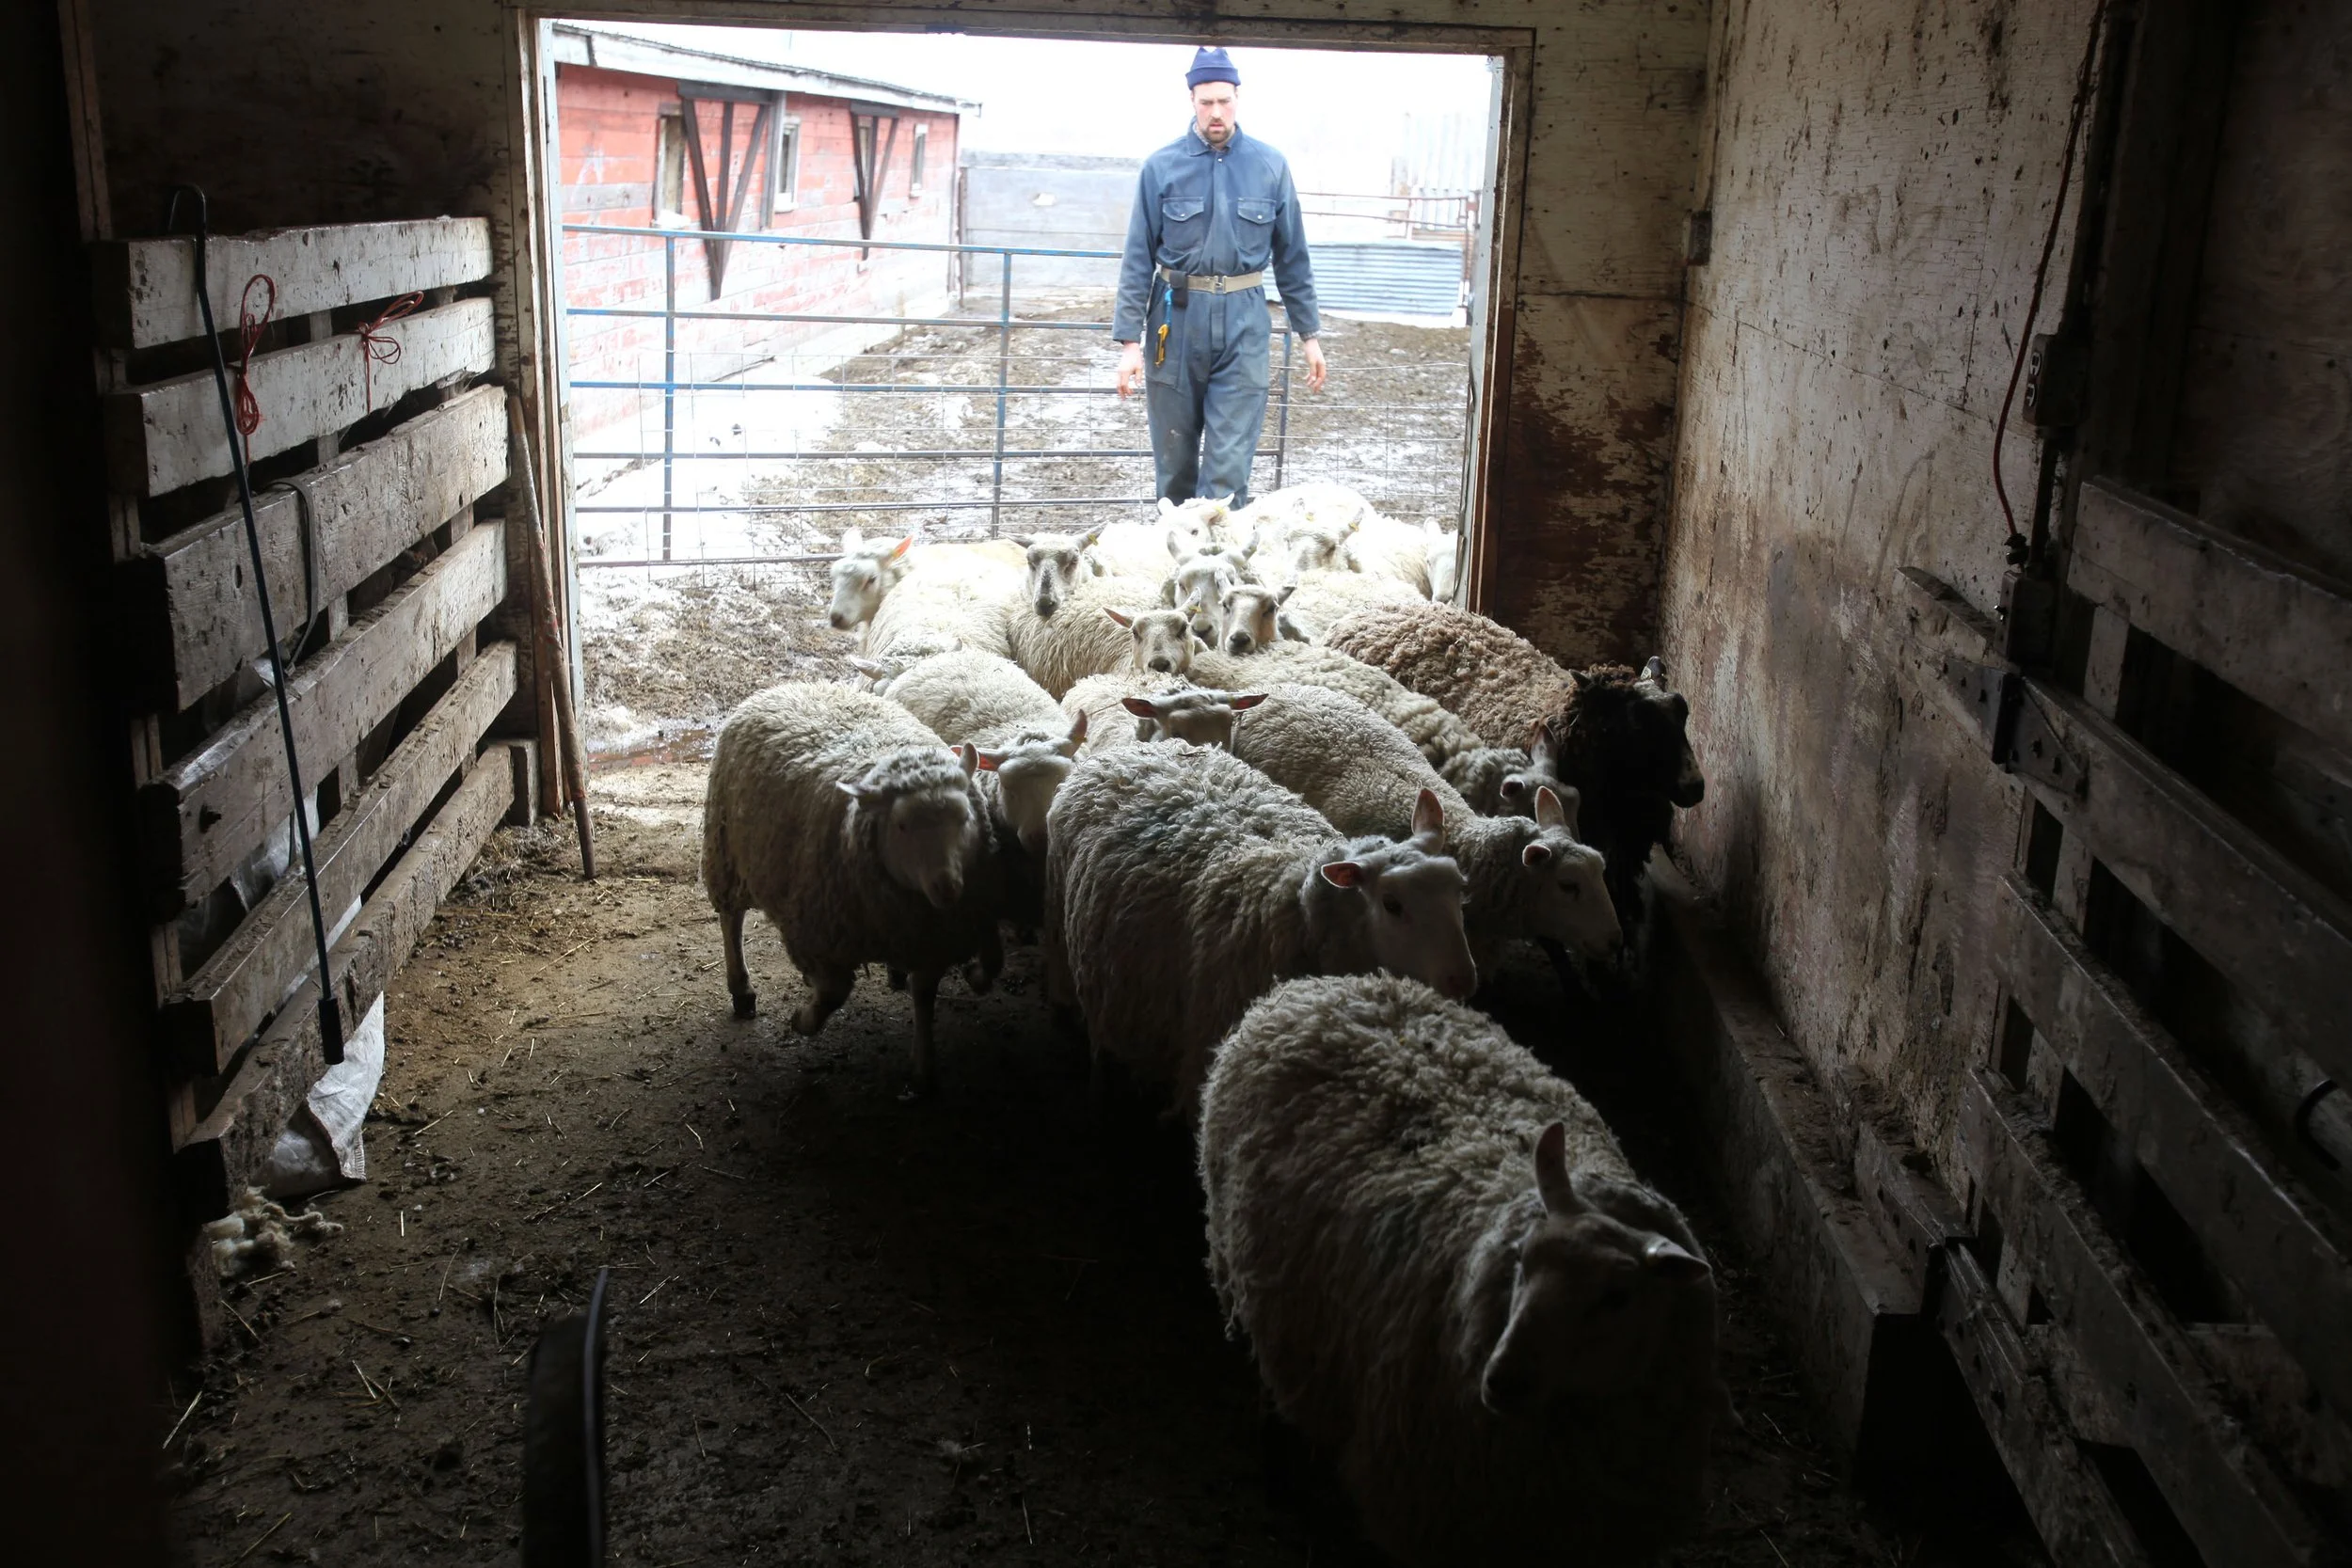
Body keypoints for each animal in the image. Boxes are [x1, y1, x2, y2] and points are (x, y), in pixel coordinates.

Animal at [703, 683, 1002, 1093]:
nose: (947, 887)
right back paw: (742, 990)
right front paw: (802, 1019)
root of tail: (792, 685)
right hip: (727, 851)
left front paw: (923, 1067)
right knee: (731, 921)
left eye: (964, 816)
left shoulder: (929, 938)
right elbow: (833, 994)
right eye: (902, 826)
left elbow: (925, 995)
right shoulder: (821, 932)